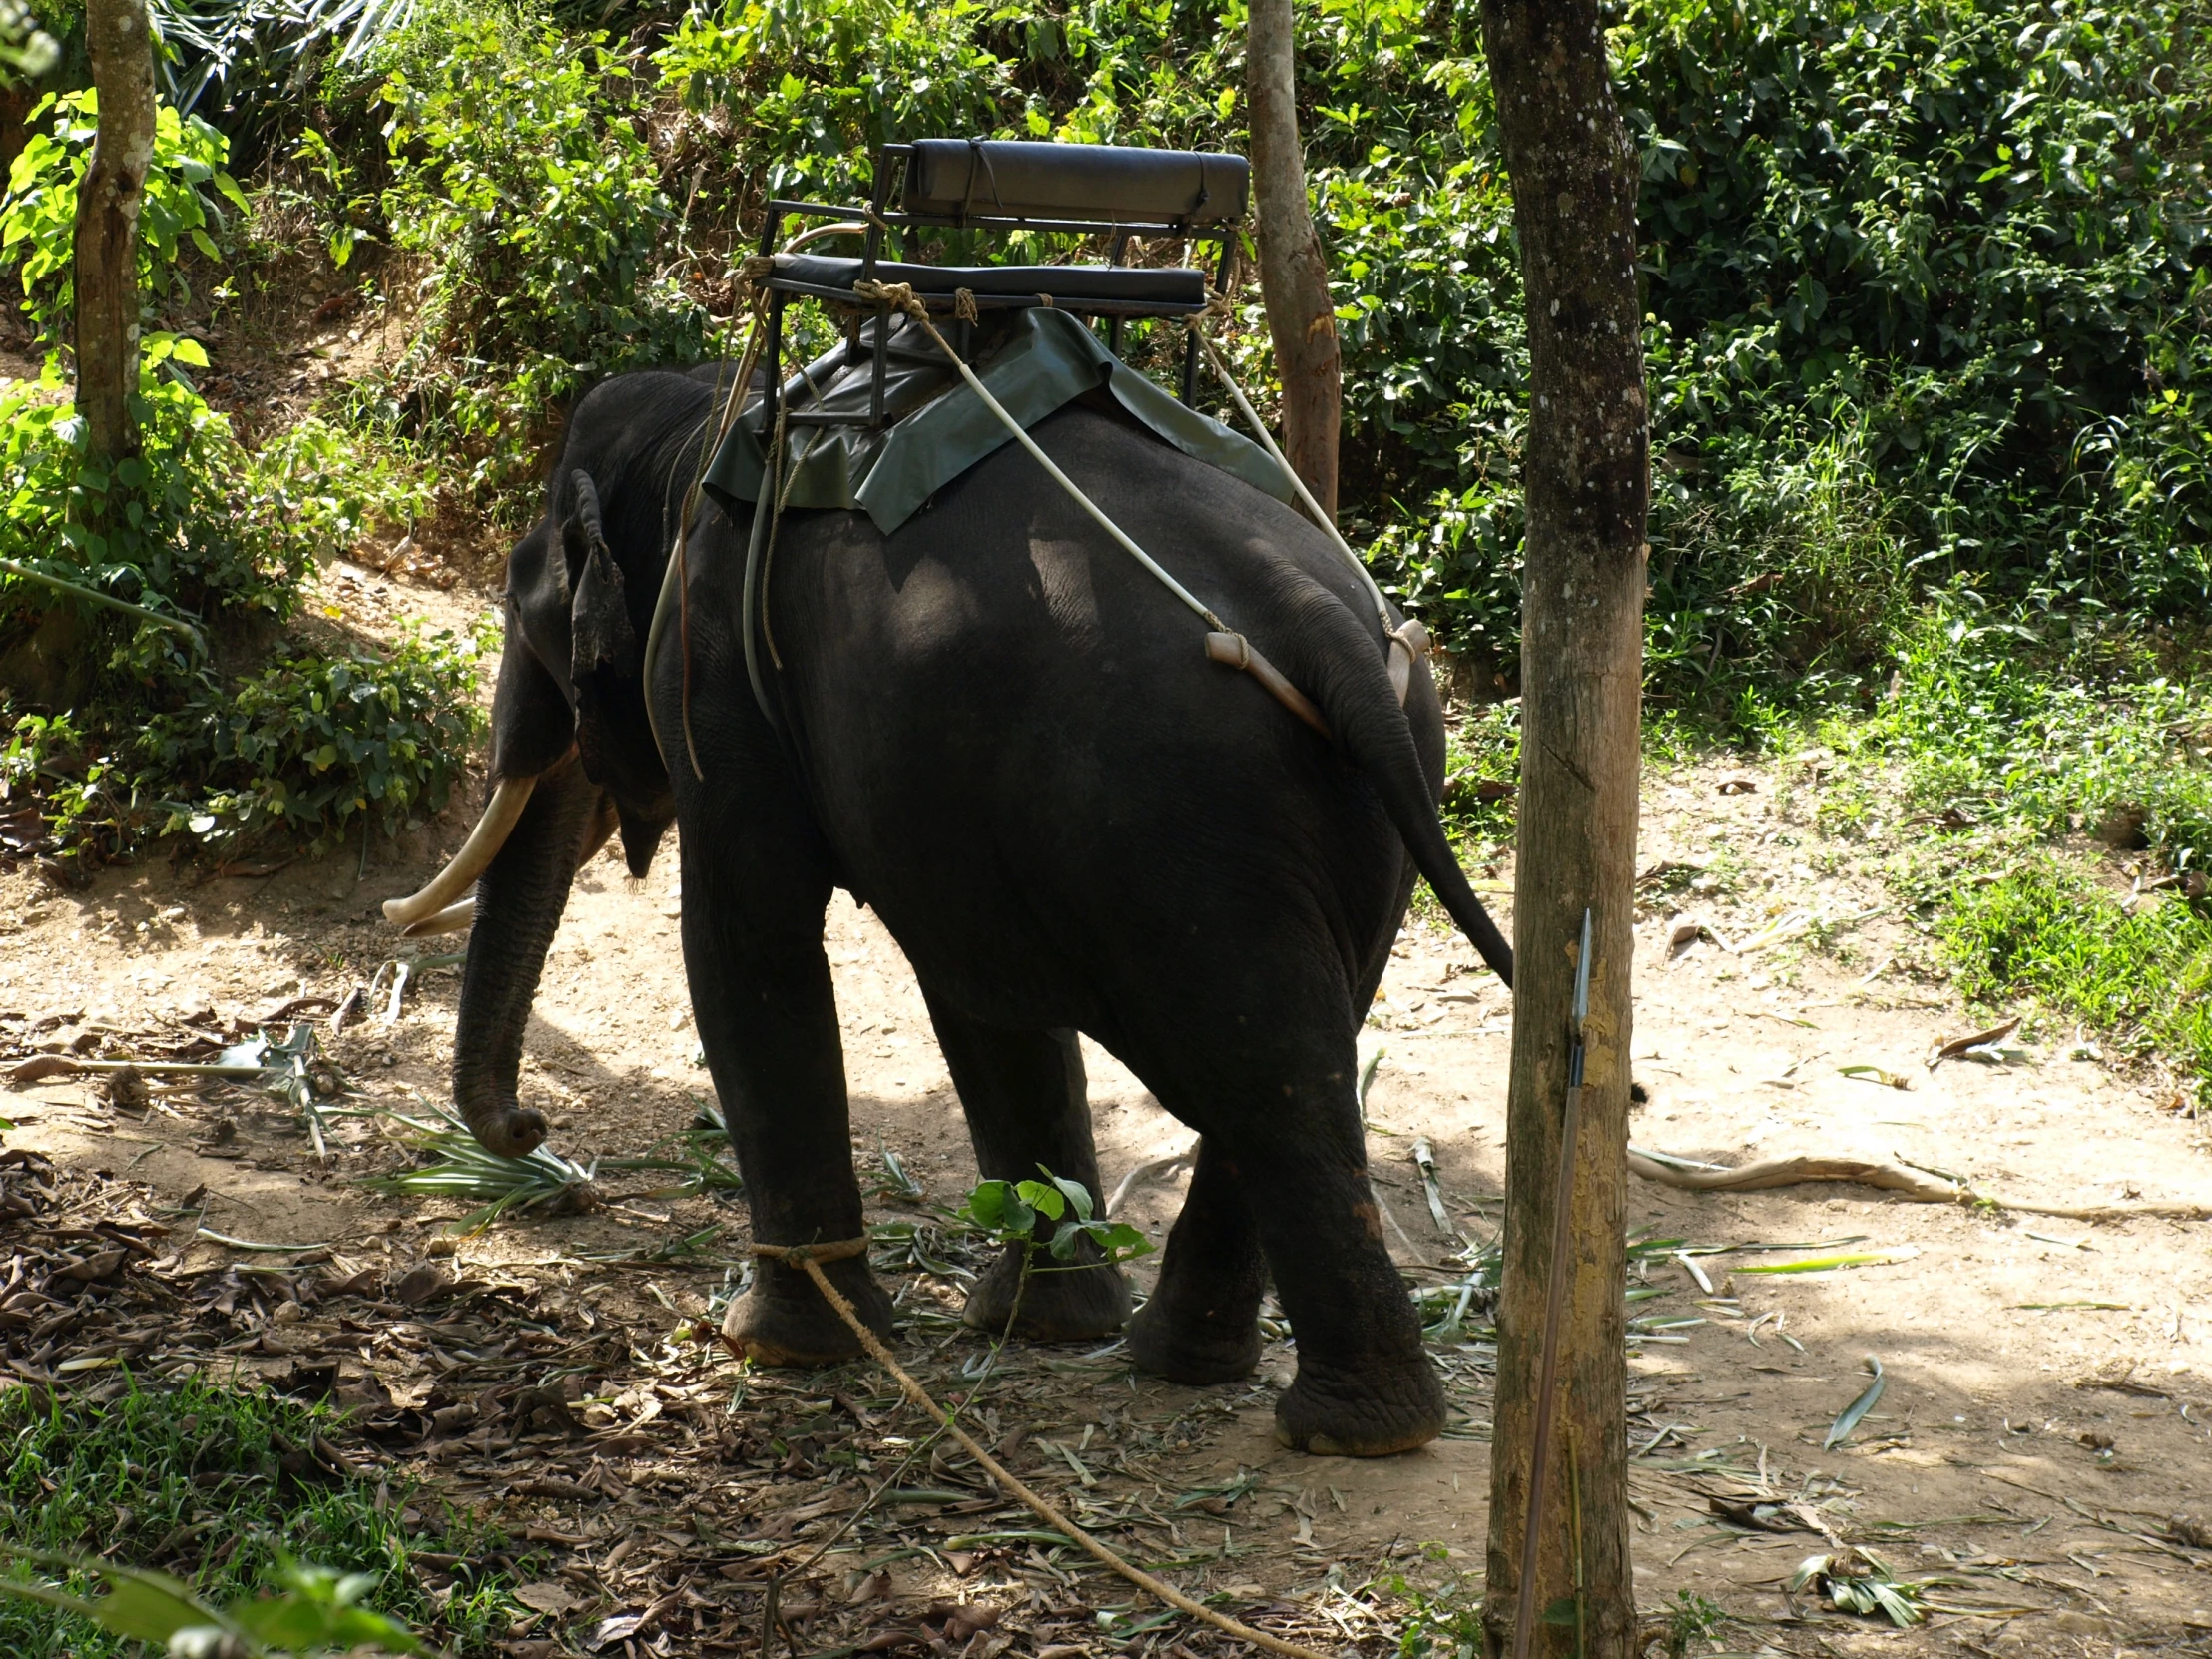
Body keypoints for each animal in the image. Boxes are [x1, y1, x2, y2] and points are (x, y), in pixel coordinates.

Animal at [389, 362, 1512, 1450]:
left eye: (519, 614)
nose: (536, 1134)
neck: (696, 413)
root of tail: (1324, 628)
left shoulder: (714, 669)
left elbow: (749, 937)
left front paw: (779, 1347)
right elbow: (985, 999)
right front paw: (1036, 1325)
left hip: (1188, 824)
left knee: (1264, 1072)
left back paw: (1350, 1429)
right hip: (1351, 817)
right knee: (1295, 1064)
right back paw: (1213, 1374)